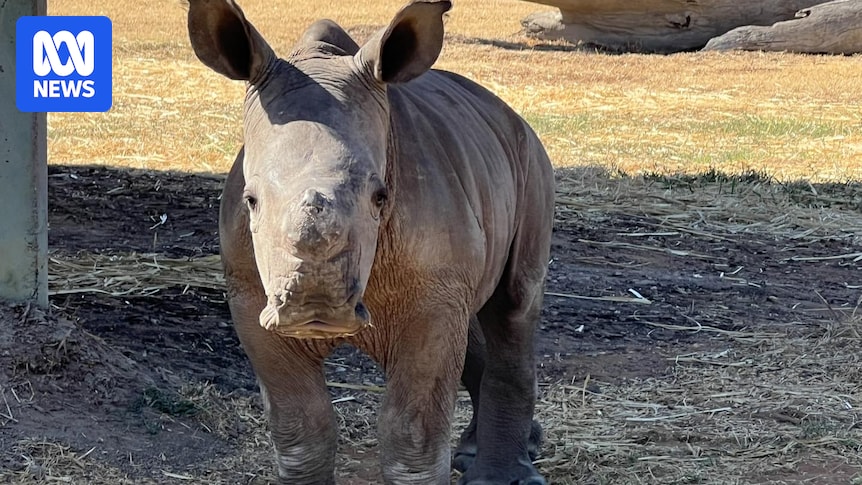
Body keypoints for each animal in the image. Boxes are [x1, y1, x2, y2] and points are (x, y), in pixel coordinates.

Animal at [186, 0, 554, 483]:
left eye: (381, 197)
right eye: (251, 200)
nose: (314, 309)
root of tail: (508, 111)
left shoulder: (431, 288)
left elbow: (412, 429)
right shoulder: (249, 293)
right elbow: (299, 425)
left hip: (531, 159)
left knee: (515, 304)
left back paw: (501, 474)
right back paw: (482, 452)